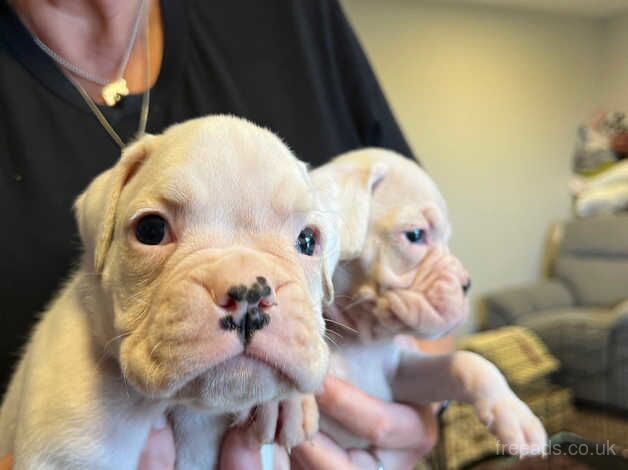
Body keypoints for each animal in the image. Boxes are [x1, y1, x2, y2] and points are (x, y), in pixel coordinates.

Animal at [312, 150, 548, 456]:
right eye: (415, 235)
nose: (467, 283)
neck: (357, 341)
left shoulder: (401, 375)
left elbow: (470, 363)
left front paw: (516, 416)